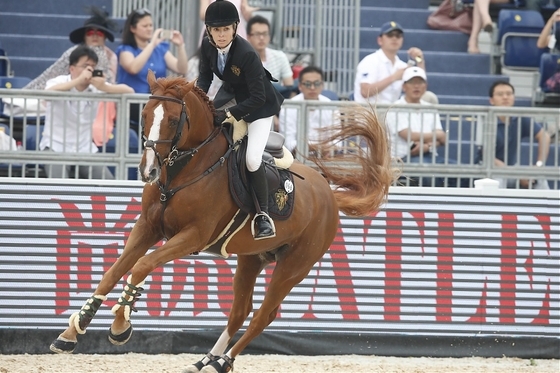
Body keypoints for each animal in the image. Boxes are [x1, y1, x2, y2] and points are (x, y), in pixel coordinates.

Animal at [51, 70, 394, 372]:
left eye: (173, 120)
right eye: (145, 114)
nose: (148, 171)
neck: (181, 173)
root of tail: (329, 194)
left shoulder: (192, 236)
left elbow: (141, 266)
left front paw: (121, 325)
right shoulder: (147, 228)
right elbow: (113, 271)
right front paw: (72, 331)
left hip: (294, 266)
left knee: (263, 315)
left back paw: (221, 363)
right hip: (252, 259)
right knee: (240, 312)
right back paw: (204, 362)